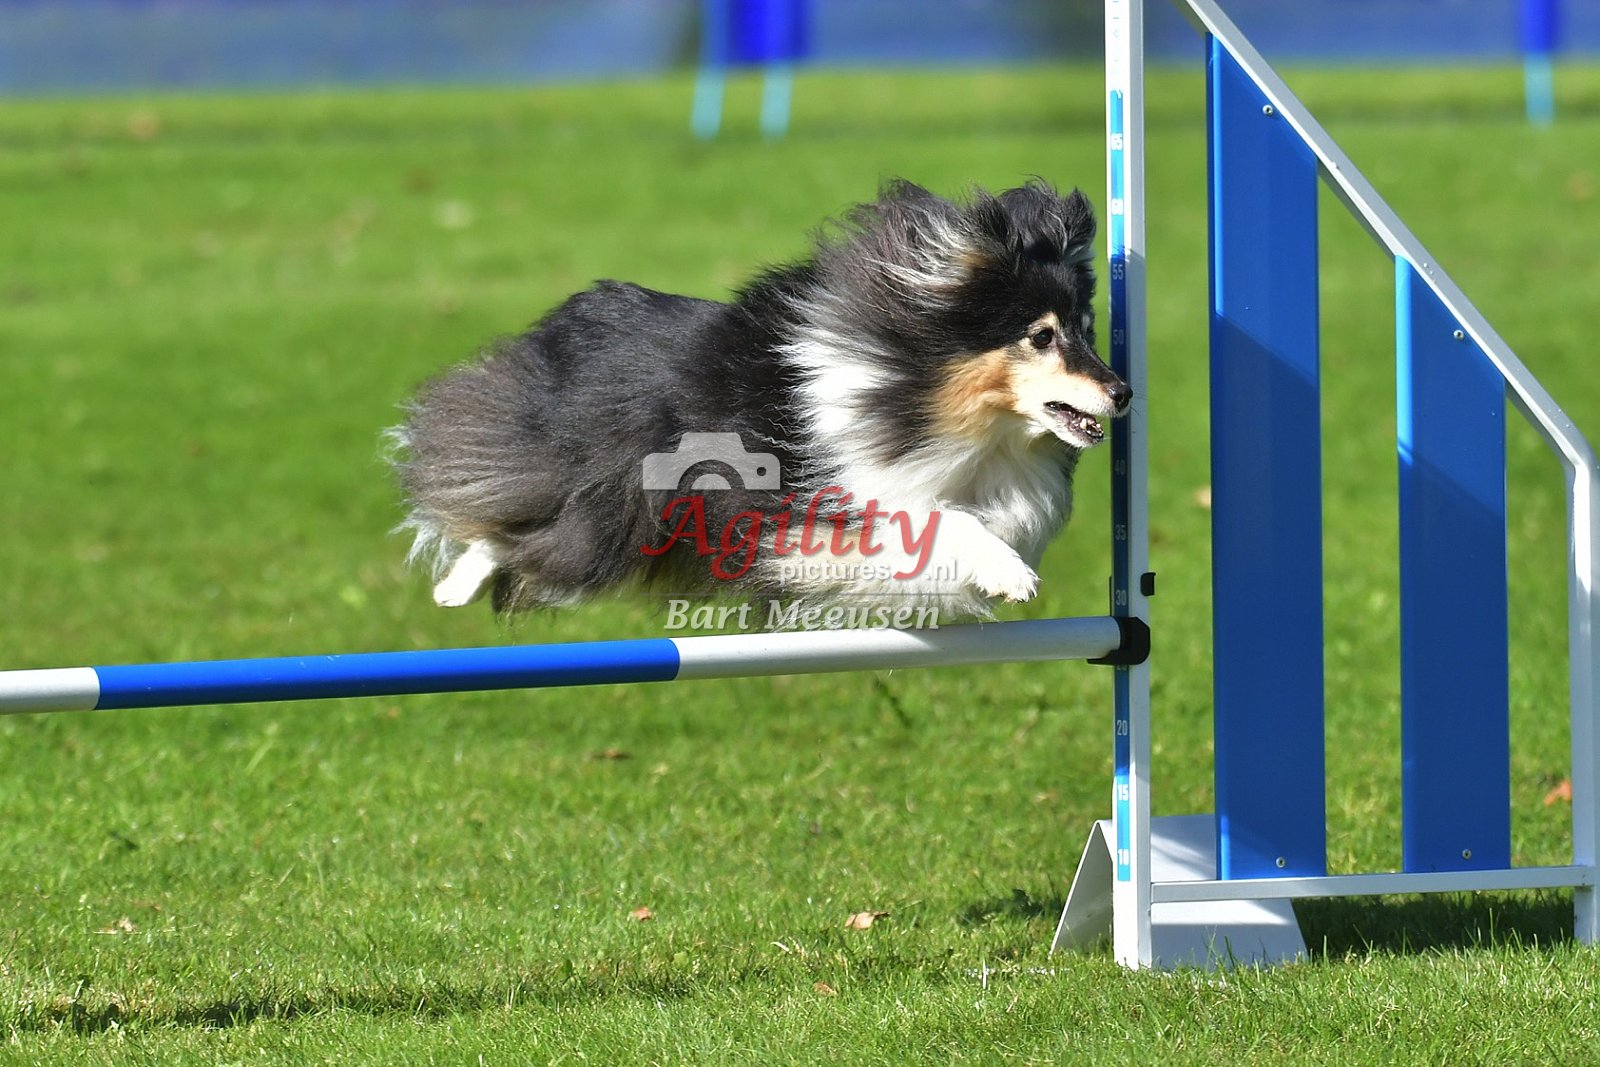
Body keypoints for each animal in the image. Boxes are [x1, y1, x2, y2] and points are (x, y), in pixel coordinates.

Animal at [390, 179, 1130, 620]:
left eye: (1087, 329)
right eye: (1041, 336)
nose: (1123, 392)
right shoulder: (831, 504)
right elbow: (939, 520)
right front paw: (1008, 574)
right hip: (608, 515)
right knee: (515, 527)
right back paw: (453, 584)